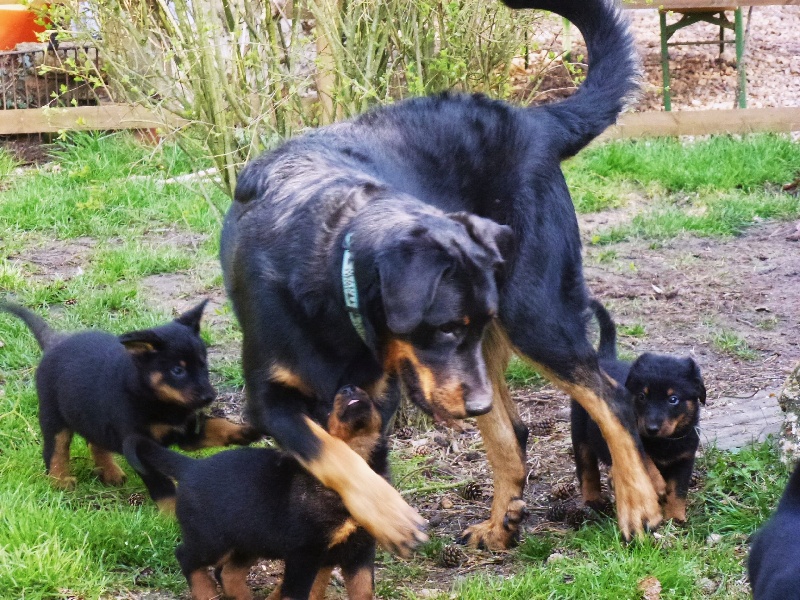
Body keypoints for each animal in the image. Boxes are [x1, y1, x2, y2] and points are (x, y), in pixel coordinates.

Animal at [0, 300, 256, 506]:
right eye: (178, 370)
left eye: (203, 364)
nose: (209, 396)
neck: (160, 402)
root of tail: (55, 342)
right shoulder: (141, 446)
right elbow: (163, 487)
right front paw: (172, 515)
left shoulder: (186, 432)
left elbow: (217, 426)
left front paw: (244, 431)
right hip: (53, 417)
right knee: (55, 450)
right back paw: (60, 481)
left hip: (93, 417)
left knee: (96, 443)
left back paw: (110, 472)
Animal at [125, 384, 388, 600]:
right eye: (324, 407)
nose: (349, 388)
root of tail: (191, 467)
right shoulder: (305, 552)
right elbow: (294, 594)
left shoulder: (361, 551)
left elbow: (363, 591)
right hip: (211, 538)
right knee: (186, 556)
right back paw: (206, 593)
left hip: (248, 539)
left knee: (228, 572)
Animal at [220, 0, 664, 552]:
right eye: (447, 327)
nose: (475, 403)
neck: (327, 269)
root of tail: (534, 119)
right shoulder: (268, 398)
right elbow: (329, 450)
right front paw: (379, 514)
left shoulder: (381, 390)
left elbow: (349, 452)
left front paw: (380, 518)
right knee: (511, 431)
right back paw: (508, 522)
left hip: (532, 313)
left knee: (610, 398)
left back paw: (639, 503)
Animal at [568, 302, 708, 524]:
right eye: (642, 396)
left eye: (673, 399)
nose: (651, 428)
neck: (663, 442)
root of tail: (604, 360)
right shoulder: (628, 437)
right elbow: (645, 461)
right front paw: (658, 486)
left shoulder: (685, 459)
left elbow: (678, 490)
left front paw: (675, 518)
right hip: (580, 431)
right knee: (587, 469)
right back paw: (594, 501)